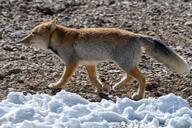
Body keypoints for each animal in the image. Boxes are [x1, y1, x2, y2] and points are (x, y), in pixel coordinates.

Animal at [17, 19, 190, 100]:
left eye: (33, 33)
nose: (20, 41)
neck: (61, 39)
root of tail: (135, 35)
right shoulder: (89, 64)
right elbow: (94, 79)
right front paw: (100, 89)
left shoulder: (71, 63)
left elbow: (64, 78)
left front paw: (56, 86)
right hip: (125, 64)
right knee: (130, 77)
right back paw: (117, 86)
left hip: (124, 63)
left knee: (142, 78)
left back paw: (138, 95)